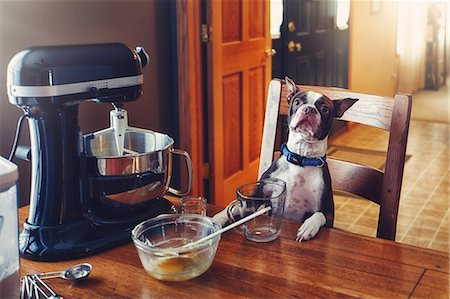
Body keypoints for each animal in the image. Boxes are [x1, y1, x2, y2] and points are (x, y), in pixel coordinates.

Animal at [214, 77, 358, 241]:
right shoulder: (258, 196)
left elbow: (318, 215)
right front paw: (217, 219)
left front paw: (308, 227)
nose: (309, 109)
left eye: (324, 109)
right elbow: (236, 206)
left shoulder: (328, 214)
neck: (301, 159)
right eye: (297, 102)